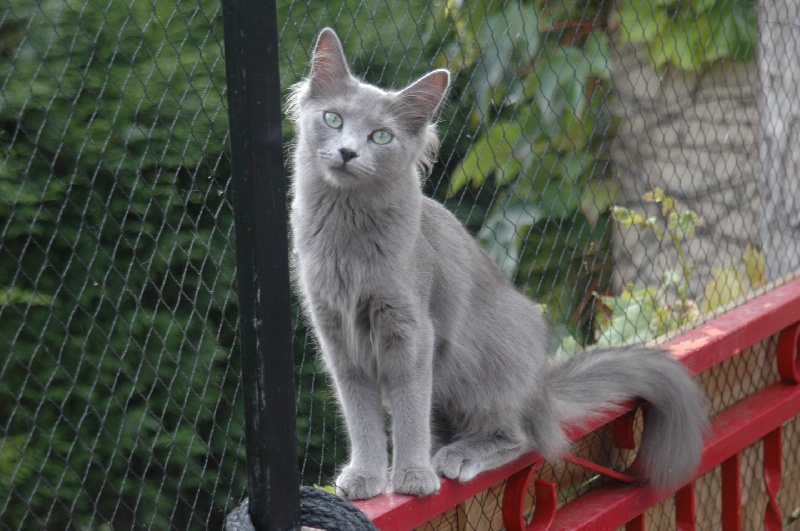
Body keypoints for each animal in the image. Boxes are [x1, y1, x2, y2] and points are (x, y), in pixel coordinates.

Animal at [290, 28, 708, 502]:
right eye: (333, 119)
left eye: (381, 137)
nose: (346, 152)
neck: (346, 237)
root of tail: (540, 391)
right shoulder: (337, 335)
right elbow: (361, 416)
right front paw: (366, 476)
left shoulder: (411, 330)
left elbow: (409, 410)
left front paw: (413, 476)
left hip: (484, 363)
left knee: (521, 437)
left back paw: (456, 456)